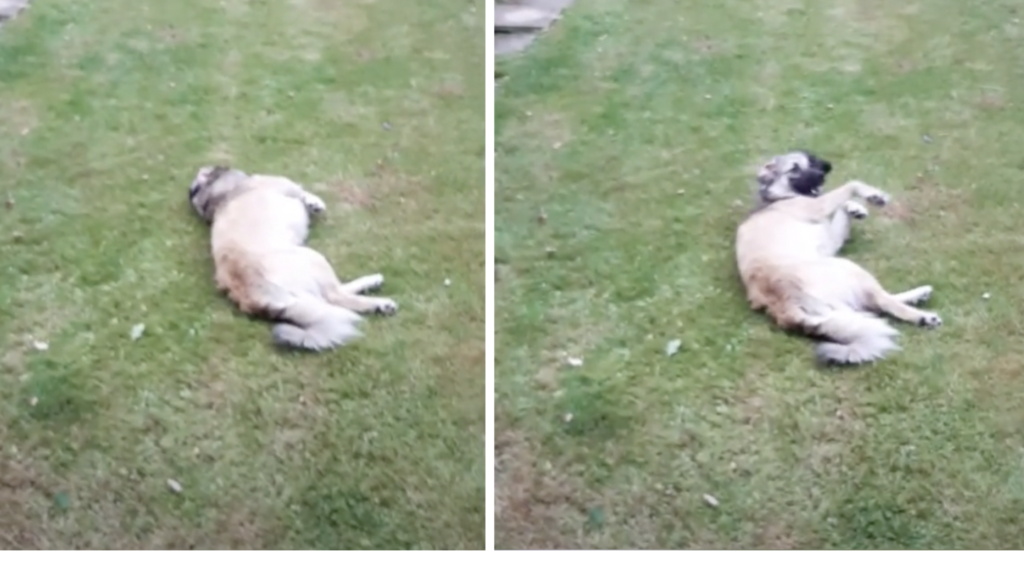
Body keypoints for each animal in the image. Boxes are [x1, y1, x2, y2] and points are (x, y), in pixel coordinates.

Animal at [188, 163, 395, 347]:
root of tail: (252, 295)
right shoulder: (285, 186)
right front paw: (314, 203)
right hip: (313, 258)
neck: (219, 195)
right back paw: (378, 297)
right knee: (336, 296)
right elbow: (303, 193)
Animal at [733, 150, 937, 364]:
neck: (780, 198)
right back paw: (922, 316)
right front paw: (873, 195)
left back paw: (919, 296)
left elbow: (843, 208)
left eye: (811, 161)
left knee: (876, 303)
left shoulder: (829, 239)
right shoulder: (818, 206)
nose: (825, 169)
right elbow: (852, 184)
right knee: (883, 302)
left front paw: (855, 208)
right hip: (847, 267)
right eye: (794, 168)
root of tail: (785, 306)